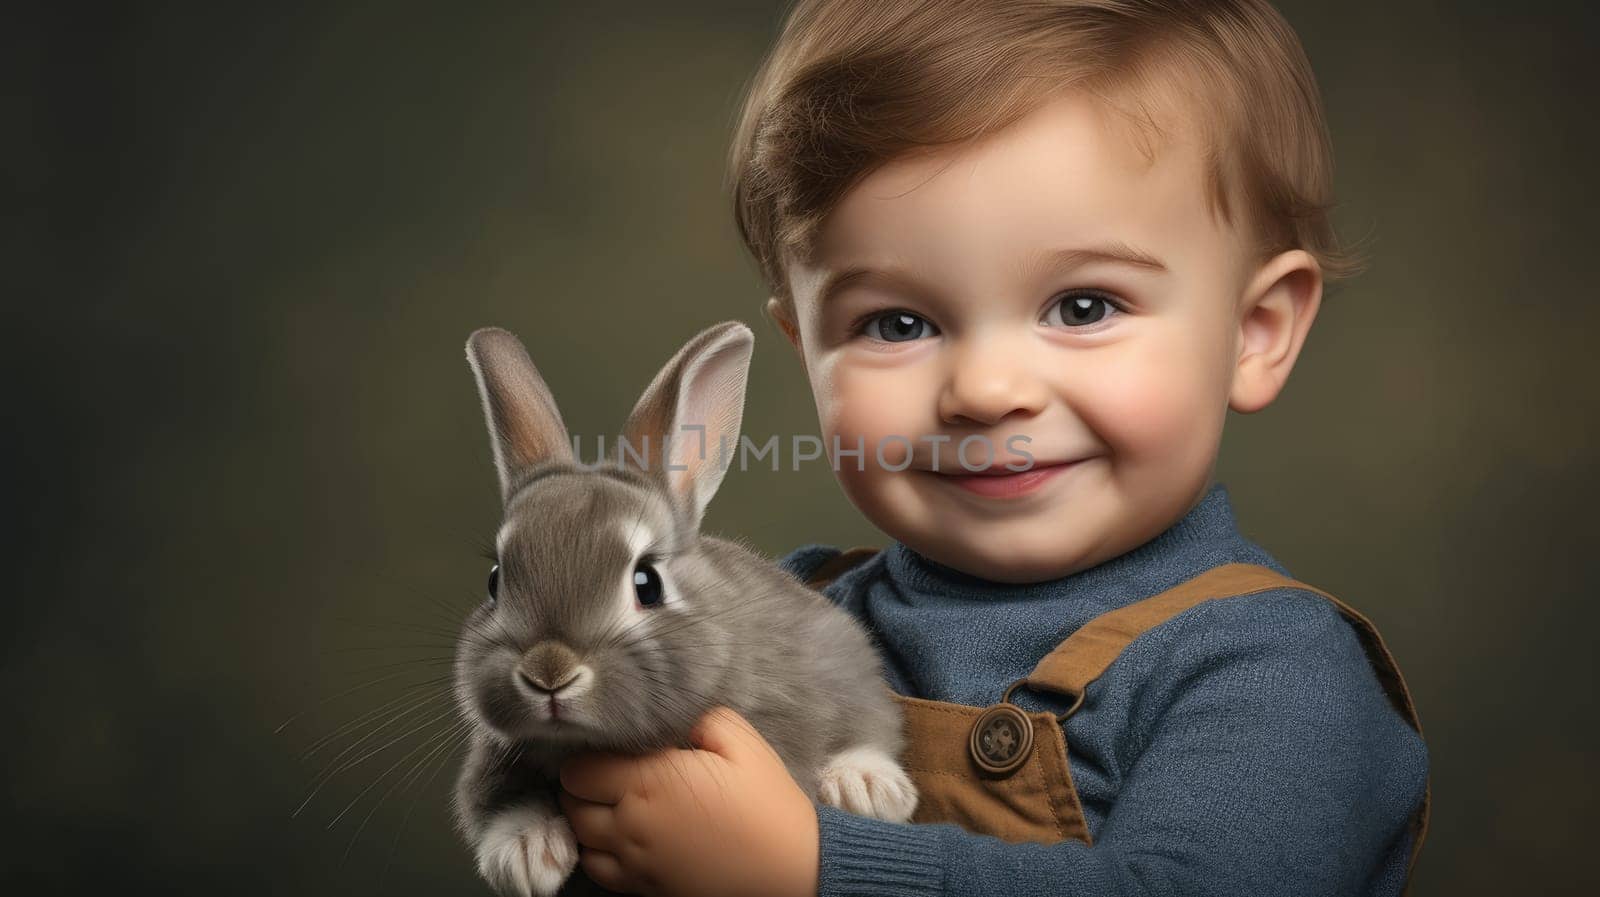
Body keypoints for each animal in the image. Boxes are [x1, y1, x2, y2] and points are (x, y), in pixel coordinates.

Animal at [457, 321, 921, 895]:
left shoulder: (837, 662)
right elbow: (492, 800)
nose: (549, 673)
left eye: (647, 582)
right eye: (496, 581)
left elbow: (868, 723)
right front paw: (525, 854)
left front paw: (869, 785)